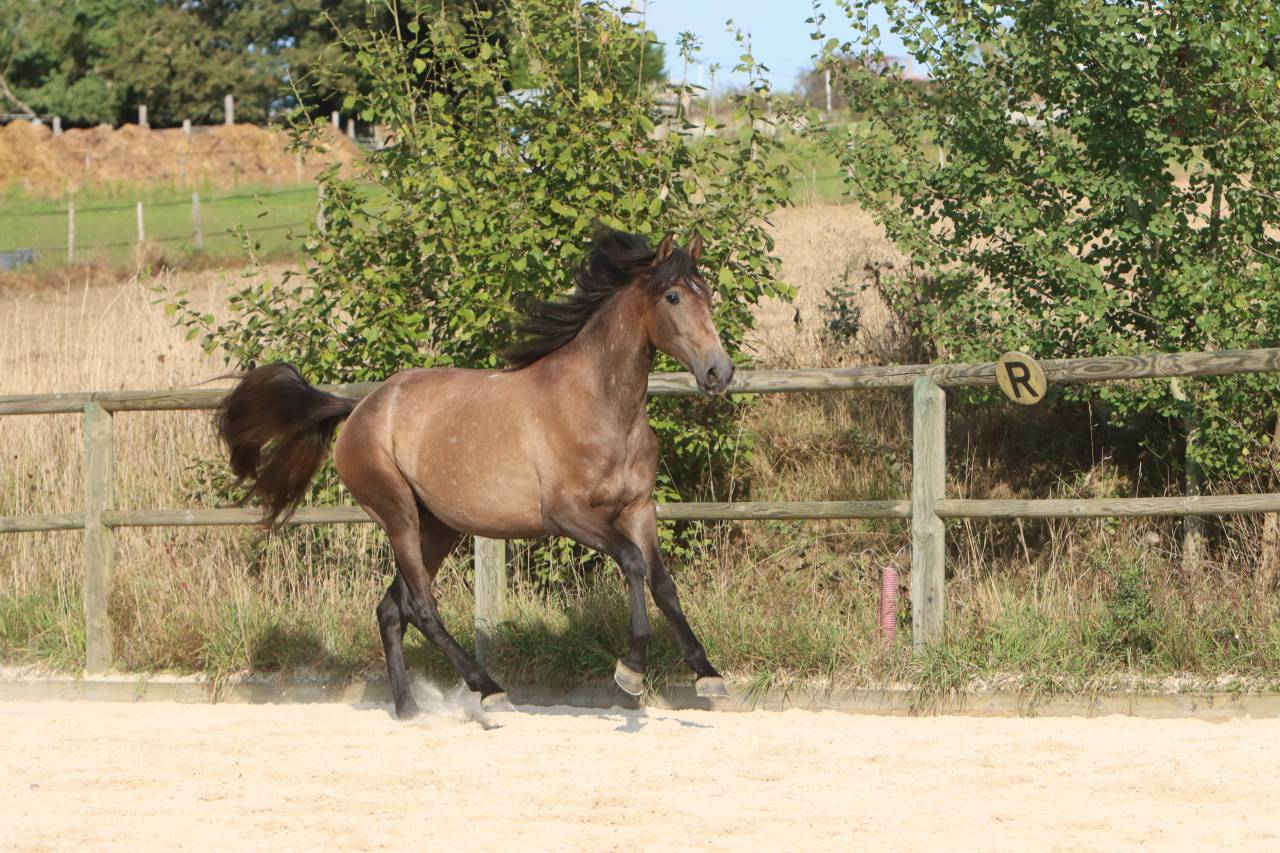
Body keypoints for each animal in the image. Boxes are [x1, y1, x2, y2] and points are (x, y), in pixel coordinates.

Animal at [216, 228, 735, 718]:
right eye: (673, 297)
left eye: (707, 293)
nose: (719, 373)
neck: (600, 405)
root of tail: (360, 406)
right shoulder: (568, 515)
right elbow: (631, 561)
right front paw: (630, 670)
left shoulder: (638, 508)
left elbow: (662, 583)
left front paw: (708, 675)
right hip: (398, 514)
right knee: (421, 606)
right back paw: (488, 690)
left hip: (436, 527)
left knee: (391, 608)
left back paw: (409, 711)